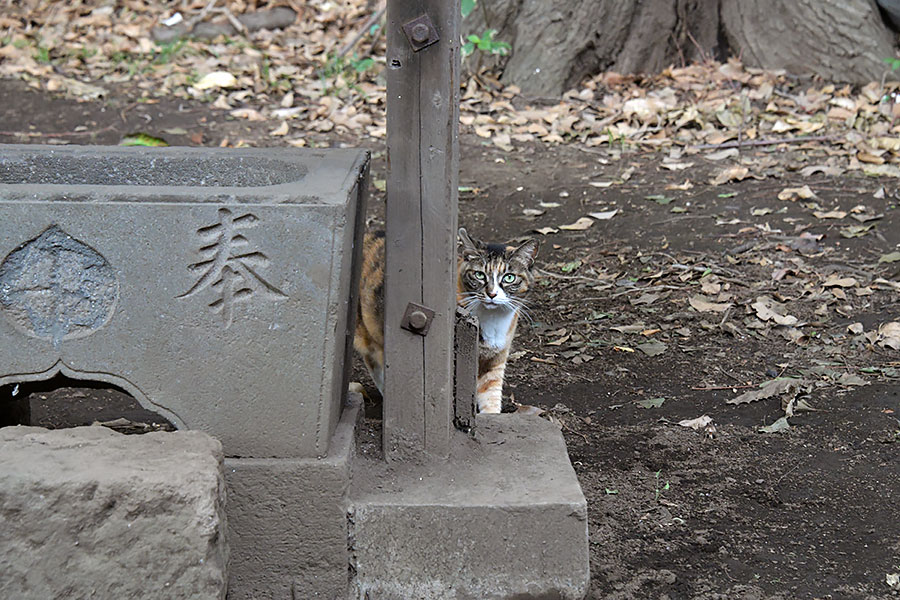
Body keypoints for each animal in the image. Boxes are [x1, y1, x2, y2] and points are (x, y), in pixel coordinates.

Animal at [352, 227, 536, 414]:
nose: (492, 294)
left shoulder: (495, 360)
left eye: (509, 277)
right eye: (479, 275)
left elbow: (491, 395)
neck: (492, 319)